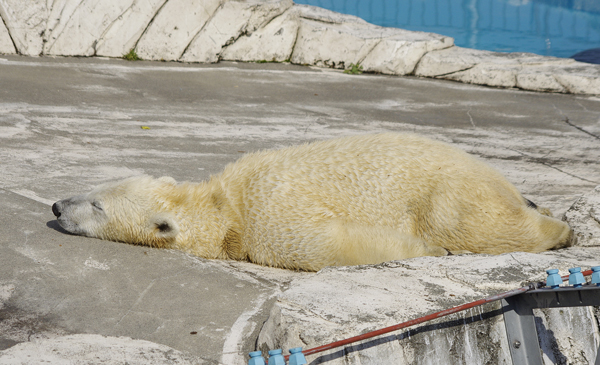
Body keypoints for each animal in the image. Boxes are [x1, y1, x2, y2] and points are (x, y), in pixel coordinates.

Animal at [54, 134, 576, 270]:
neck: (223, 205)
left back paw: (562, 230)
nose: (57, 206)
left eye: (97, 206)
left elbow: (323, 244)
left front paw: (427, 250)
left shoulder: (267, 212)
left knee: (478, 226)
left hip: (453, 193)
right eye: (91, 191)